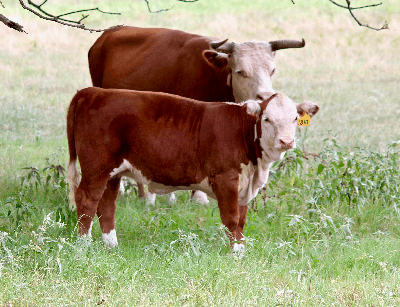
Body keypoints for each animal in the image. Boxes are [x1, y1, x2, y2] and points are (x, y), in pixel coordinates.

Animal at [67, 87, 320, 250]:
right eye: (267, 119)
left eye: (295, 118)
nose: (286, 141)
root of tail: (92, 91)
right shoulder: (226, 179)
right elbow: (231, 218)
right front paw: (235, 253)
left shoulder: (245, 186)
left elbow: (241, 220)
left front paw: (241, 249)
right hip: (96, 167)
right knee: (87, 200)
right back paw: (83, 246)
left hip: (112, 172)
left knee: (106, 205)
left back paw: (111, 245)